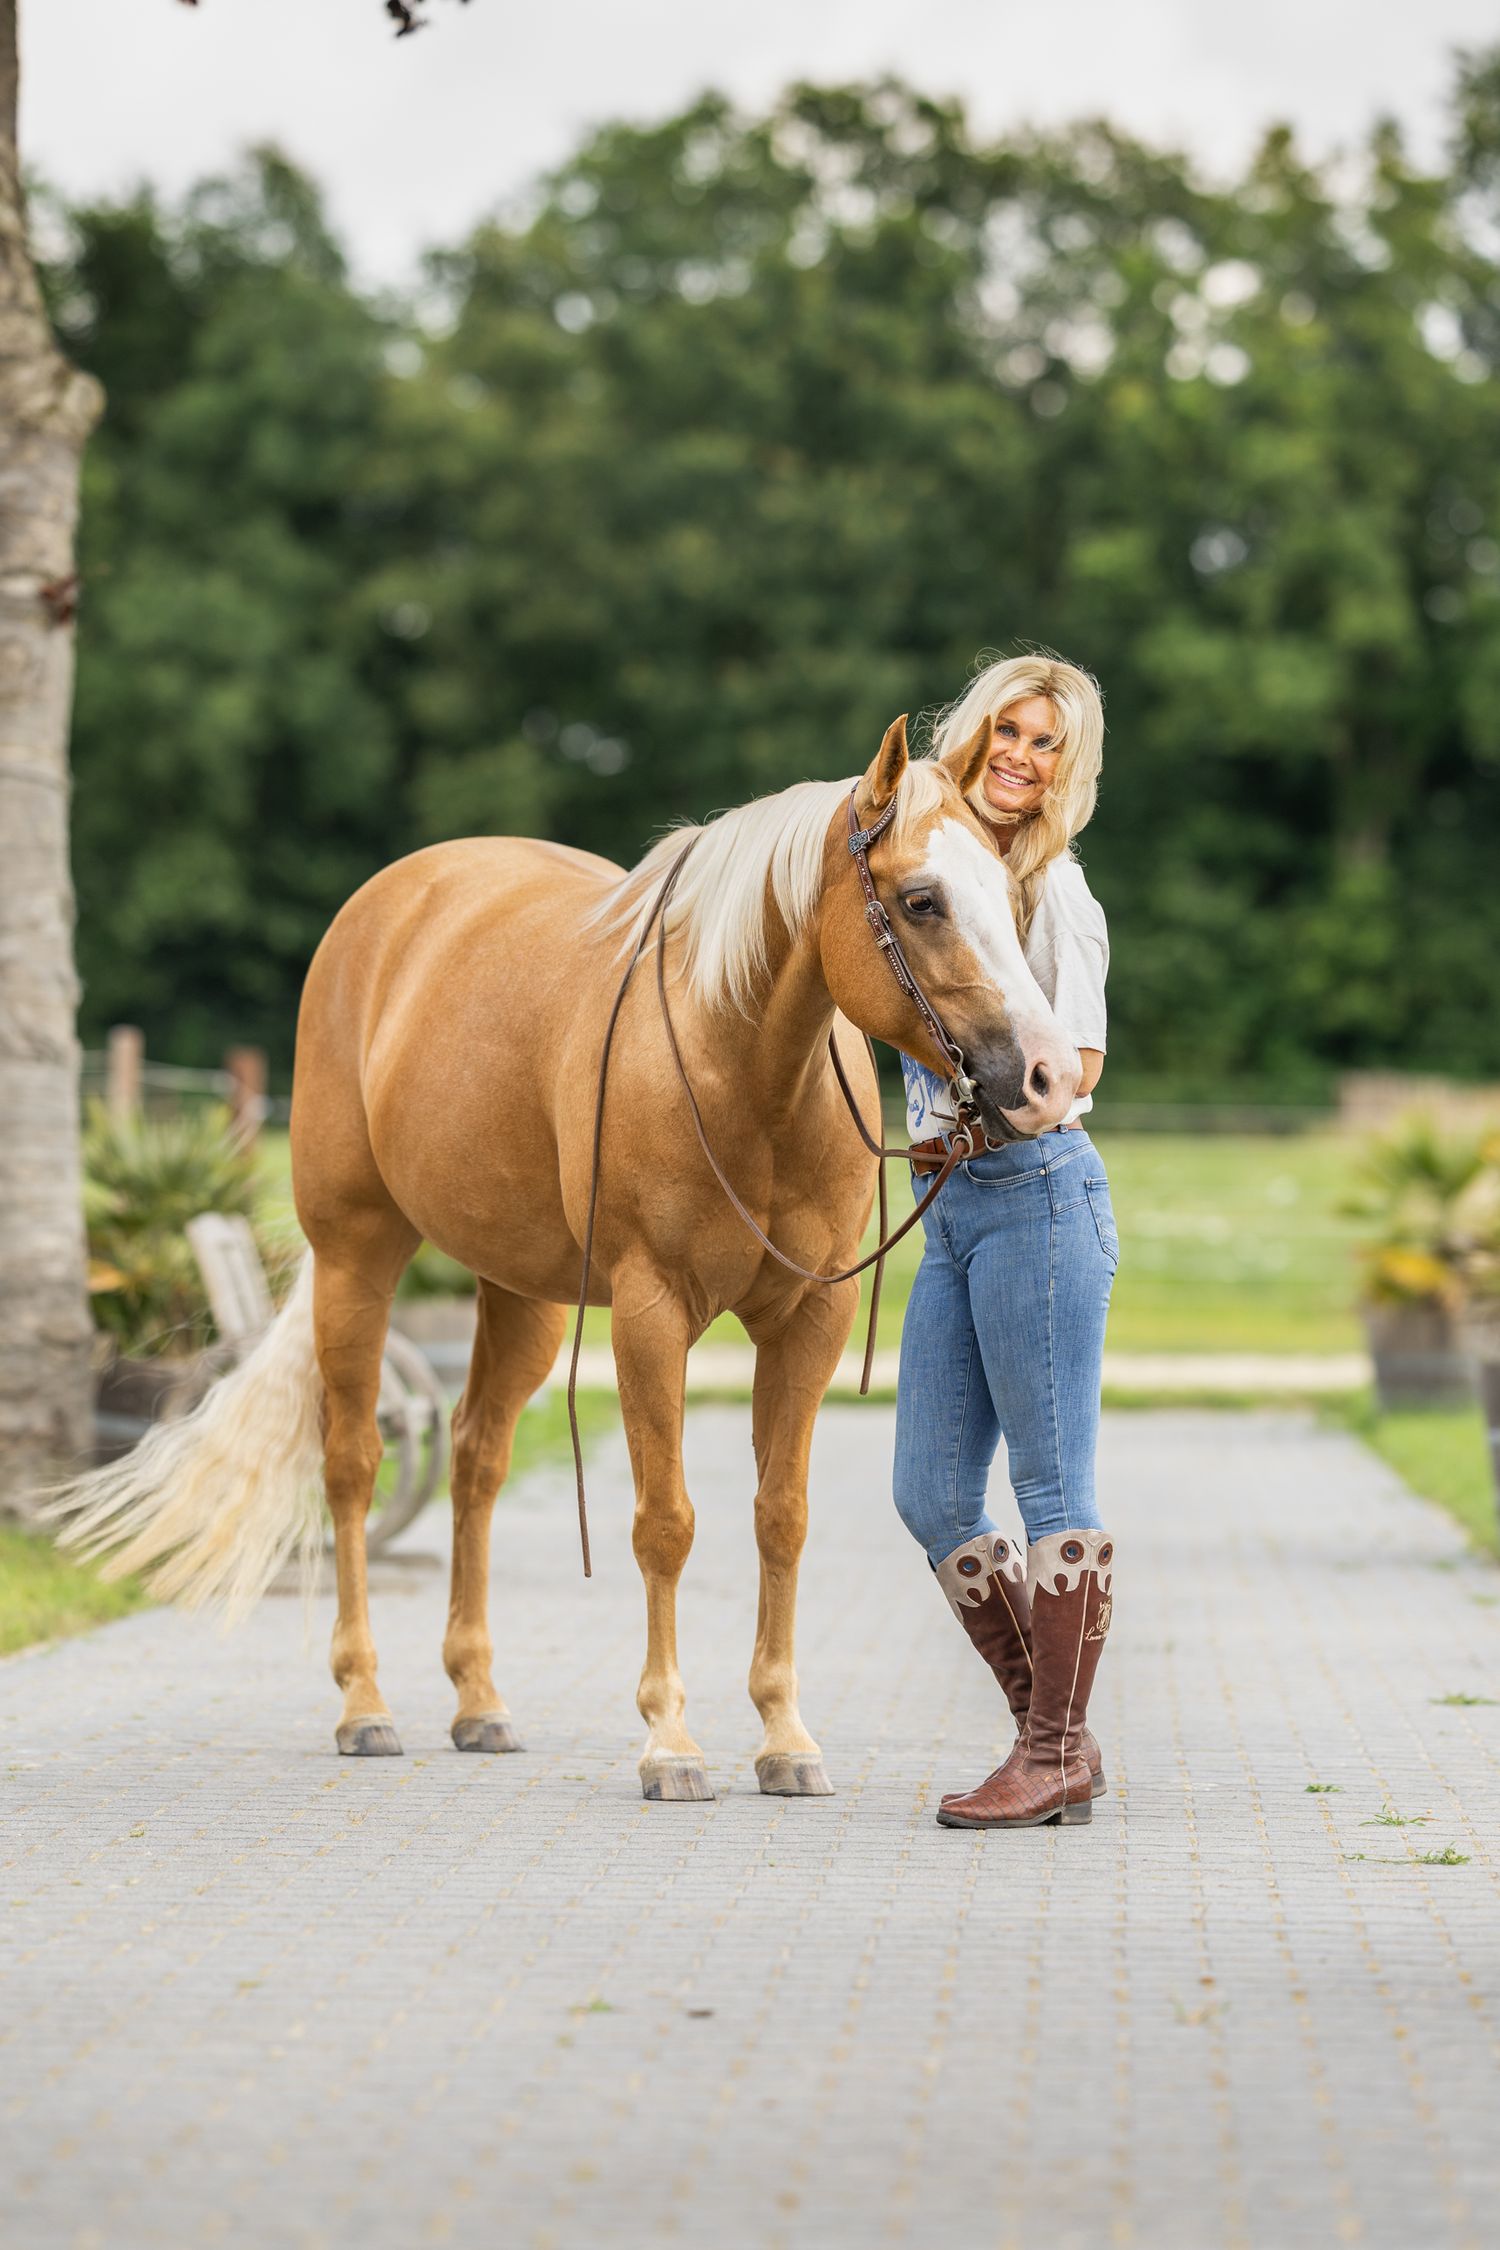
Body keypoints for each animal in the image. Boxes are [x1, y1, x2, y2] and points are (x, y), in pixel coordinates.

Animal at [51, 712, 1081, 1801]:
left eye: (1011, 897)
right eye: (922, 901)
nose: (1047, 1074)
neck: (740, 1064)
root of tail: (387, 908)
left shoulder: (808, 1320)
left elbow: (781, 1517)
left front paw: (784, 1736)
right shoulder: (650, 1314)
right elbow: (665, 1521)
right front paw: (670, 1741)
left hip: (521, 1296)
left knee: (475, 1459)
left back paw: (477, 1701)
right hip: (355, 1258)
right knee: (352, 1465)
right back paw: (364, 1703)